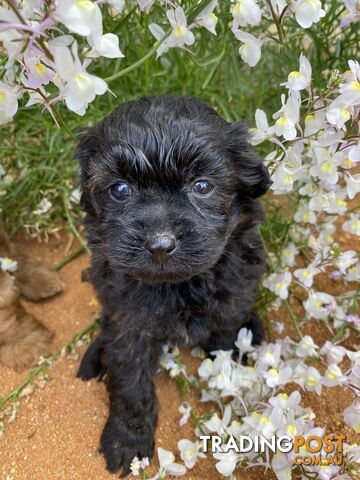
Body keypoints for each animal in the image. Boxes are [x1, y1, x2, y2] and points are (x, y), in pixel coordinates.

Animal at [77, 94, 272, 476]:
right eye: (120, 190)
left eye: (202, 186)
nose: (160, 244)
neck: (178, 286)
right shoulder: (128, 319)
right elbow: (130, 378)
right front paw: (127, 438)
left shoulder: (229, 302)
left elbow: (223, 341)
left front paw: (224, 380)